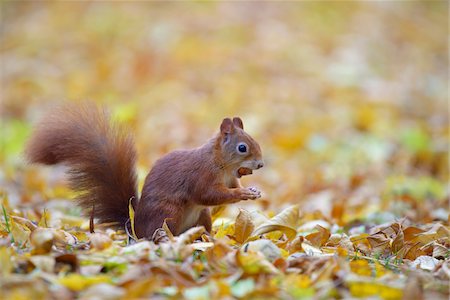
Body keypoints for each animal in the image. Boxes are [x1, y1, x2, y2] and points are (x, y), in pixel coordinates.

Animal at [25, 103, 264, 239]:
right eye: (242, 147)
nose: (261, 165)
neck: (222, 164)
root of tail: (135, 230)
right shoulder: (201, 175)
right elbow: (208, 194)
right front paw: (242, 193)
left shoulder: (231, 178)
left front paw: (252, 190)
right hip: (169, 213)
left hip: (201, 216)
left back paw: (209, 239)